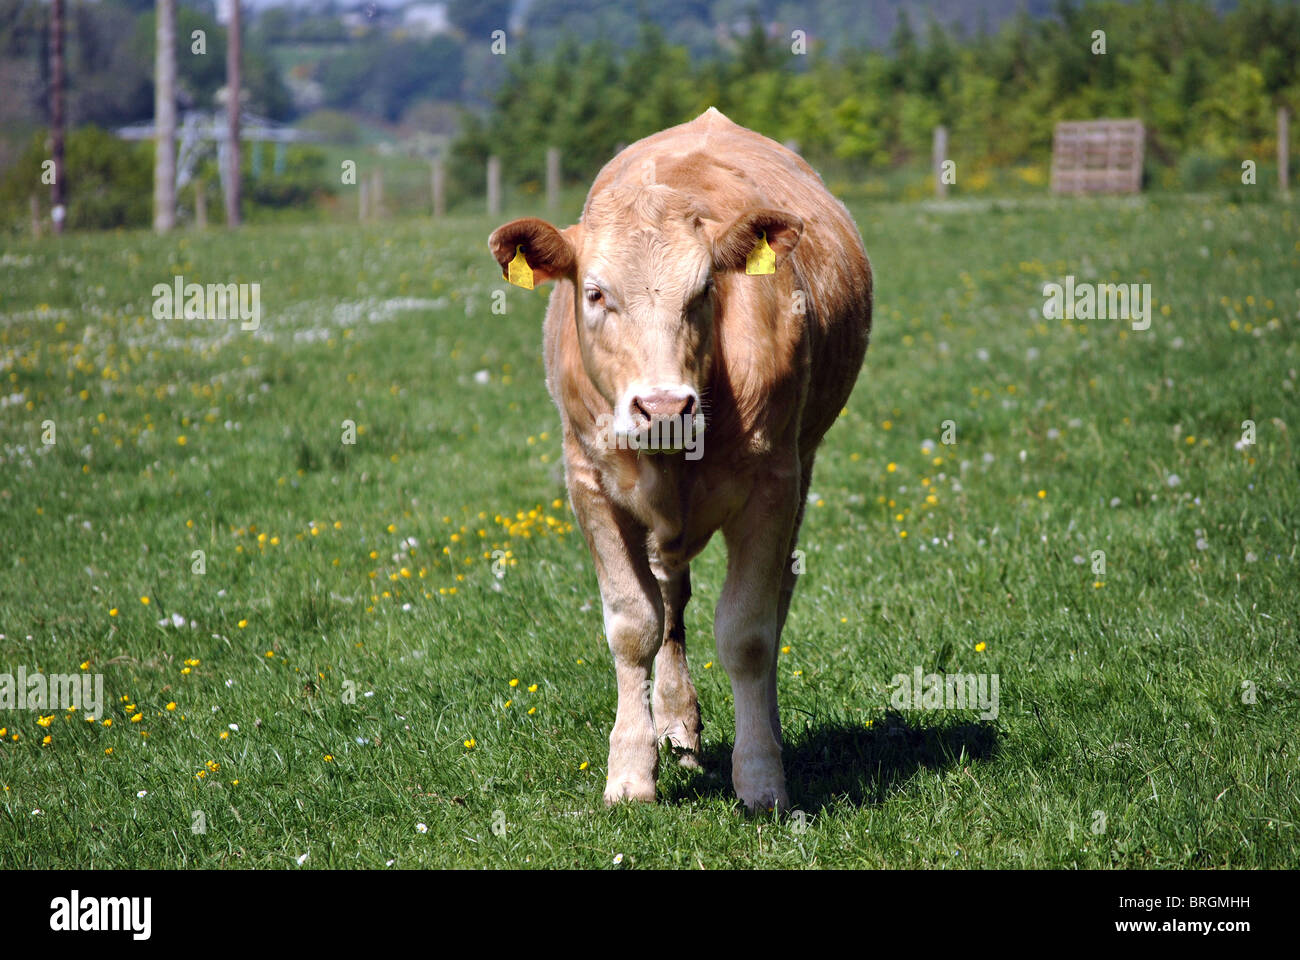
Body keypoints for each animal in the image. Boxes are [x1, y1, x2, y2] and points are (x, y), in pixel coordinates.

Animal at [488, 107, 873, 812]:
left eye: (703, 292)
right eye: (595, 293)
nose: (665, 406)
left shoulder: (774, 483)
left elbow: (749, 632)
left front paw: (762, 776)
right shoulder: (588, 484)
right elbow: (634, 624)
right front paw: (630, 771)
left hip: (804, 465)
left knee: (775, 599)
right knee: (670, 598)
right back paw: (675, 721)